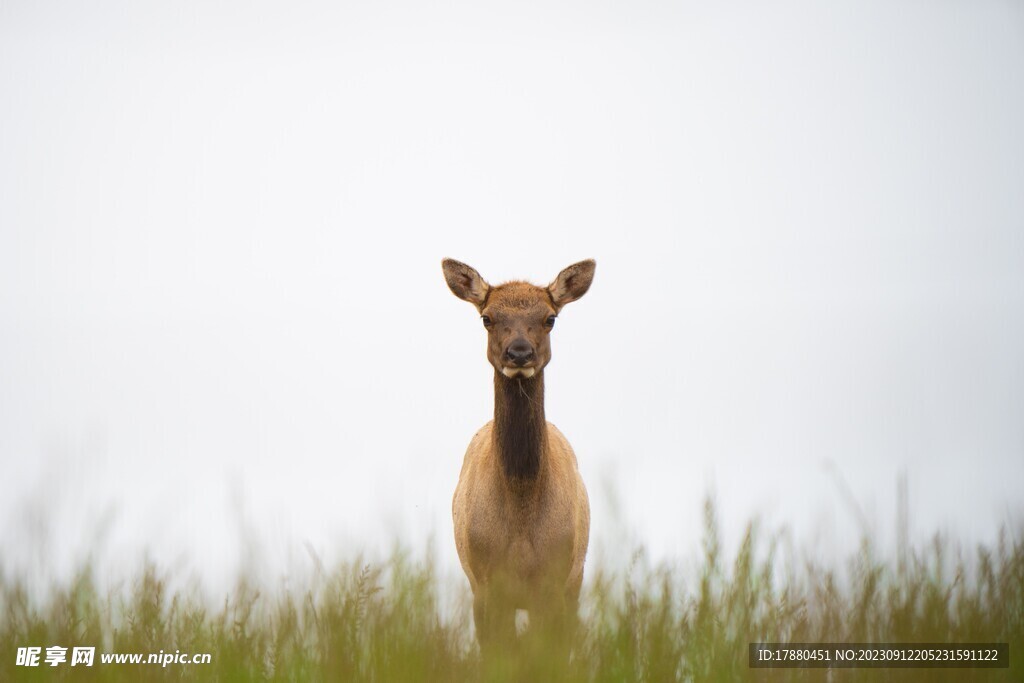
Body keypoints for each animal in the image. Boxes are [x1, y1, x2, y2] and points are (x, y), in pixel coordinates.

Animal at [440, 258, 593, 663]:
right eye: (487, 317)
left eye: (550, 317)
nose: (520, 353)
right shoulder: (485, 584)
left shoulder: (556, 581)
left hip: (575, 579)